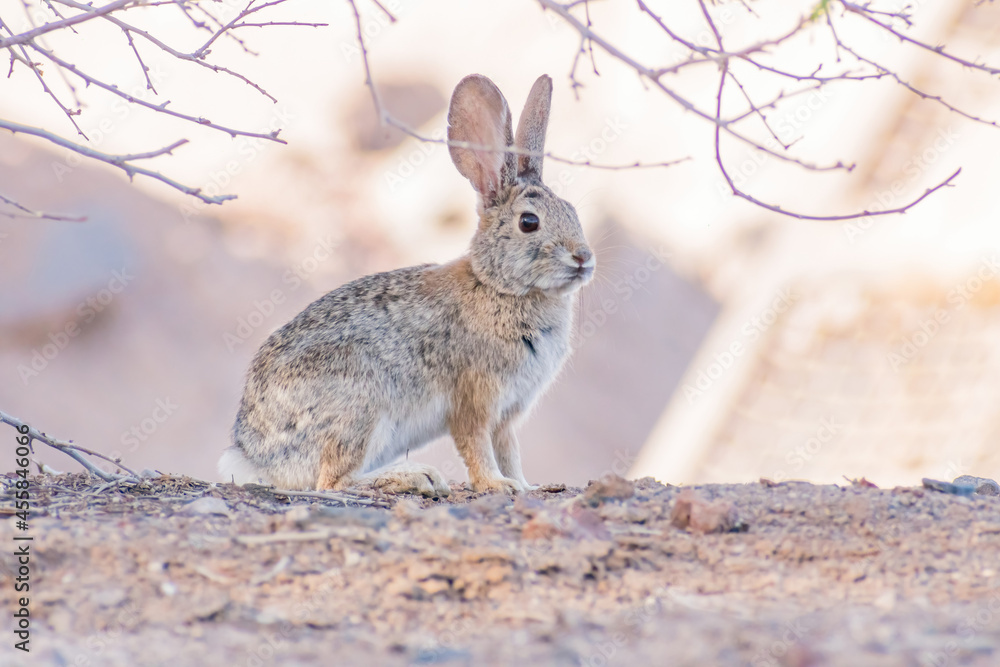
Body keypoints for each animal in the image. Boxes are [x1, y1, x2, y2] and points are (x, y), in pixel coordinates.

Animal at [218, 73, 595, 496]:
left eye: (573, 212)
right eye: (529, 222)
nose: (583, 257)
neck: (500, 287)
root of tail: (255, 456)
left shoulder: (507, 414)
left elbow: (509, 450)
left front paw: (524, 486)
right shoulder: (474, 399)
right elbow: (477, 445)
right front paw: (497, 485)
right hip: (361, 404)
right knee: (332, 480)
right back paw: (414, 476)